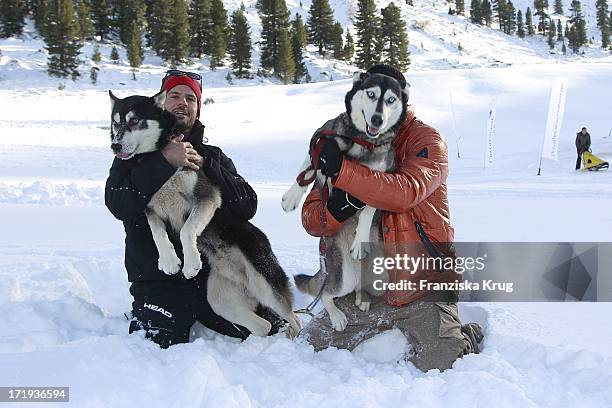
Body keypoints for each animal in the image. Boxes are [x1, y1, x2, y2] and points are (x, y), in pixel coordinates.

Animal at [109, 91, 302, 338]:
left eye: (134, 121)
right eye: (116, 123)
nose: (115, 145)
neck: (157, 156)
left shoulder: (206, 197)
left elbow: (186, 230)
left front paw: (190, 263)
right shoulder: (149, 208)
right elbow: (157, 234)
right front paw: (170, 261)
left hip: (266, 283)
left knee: (294, 317)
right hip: (220, 300)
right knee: (263, 326)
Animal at [284, 70, 408, 332]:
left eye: (391, 99)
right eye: (371, 94)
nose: (378, 119)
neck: (362, 140)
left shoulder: (385, 177)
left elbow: (370, 207)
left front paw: (360, 239)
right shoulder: (322, 142)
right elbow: (306, 169)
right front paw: (291, 197)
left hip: (380, 274)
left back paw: (362, 297)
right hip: (343, 276)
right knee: (326, 294)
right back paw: (337, 315)